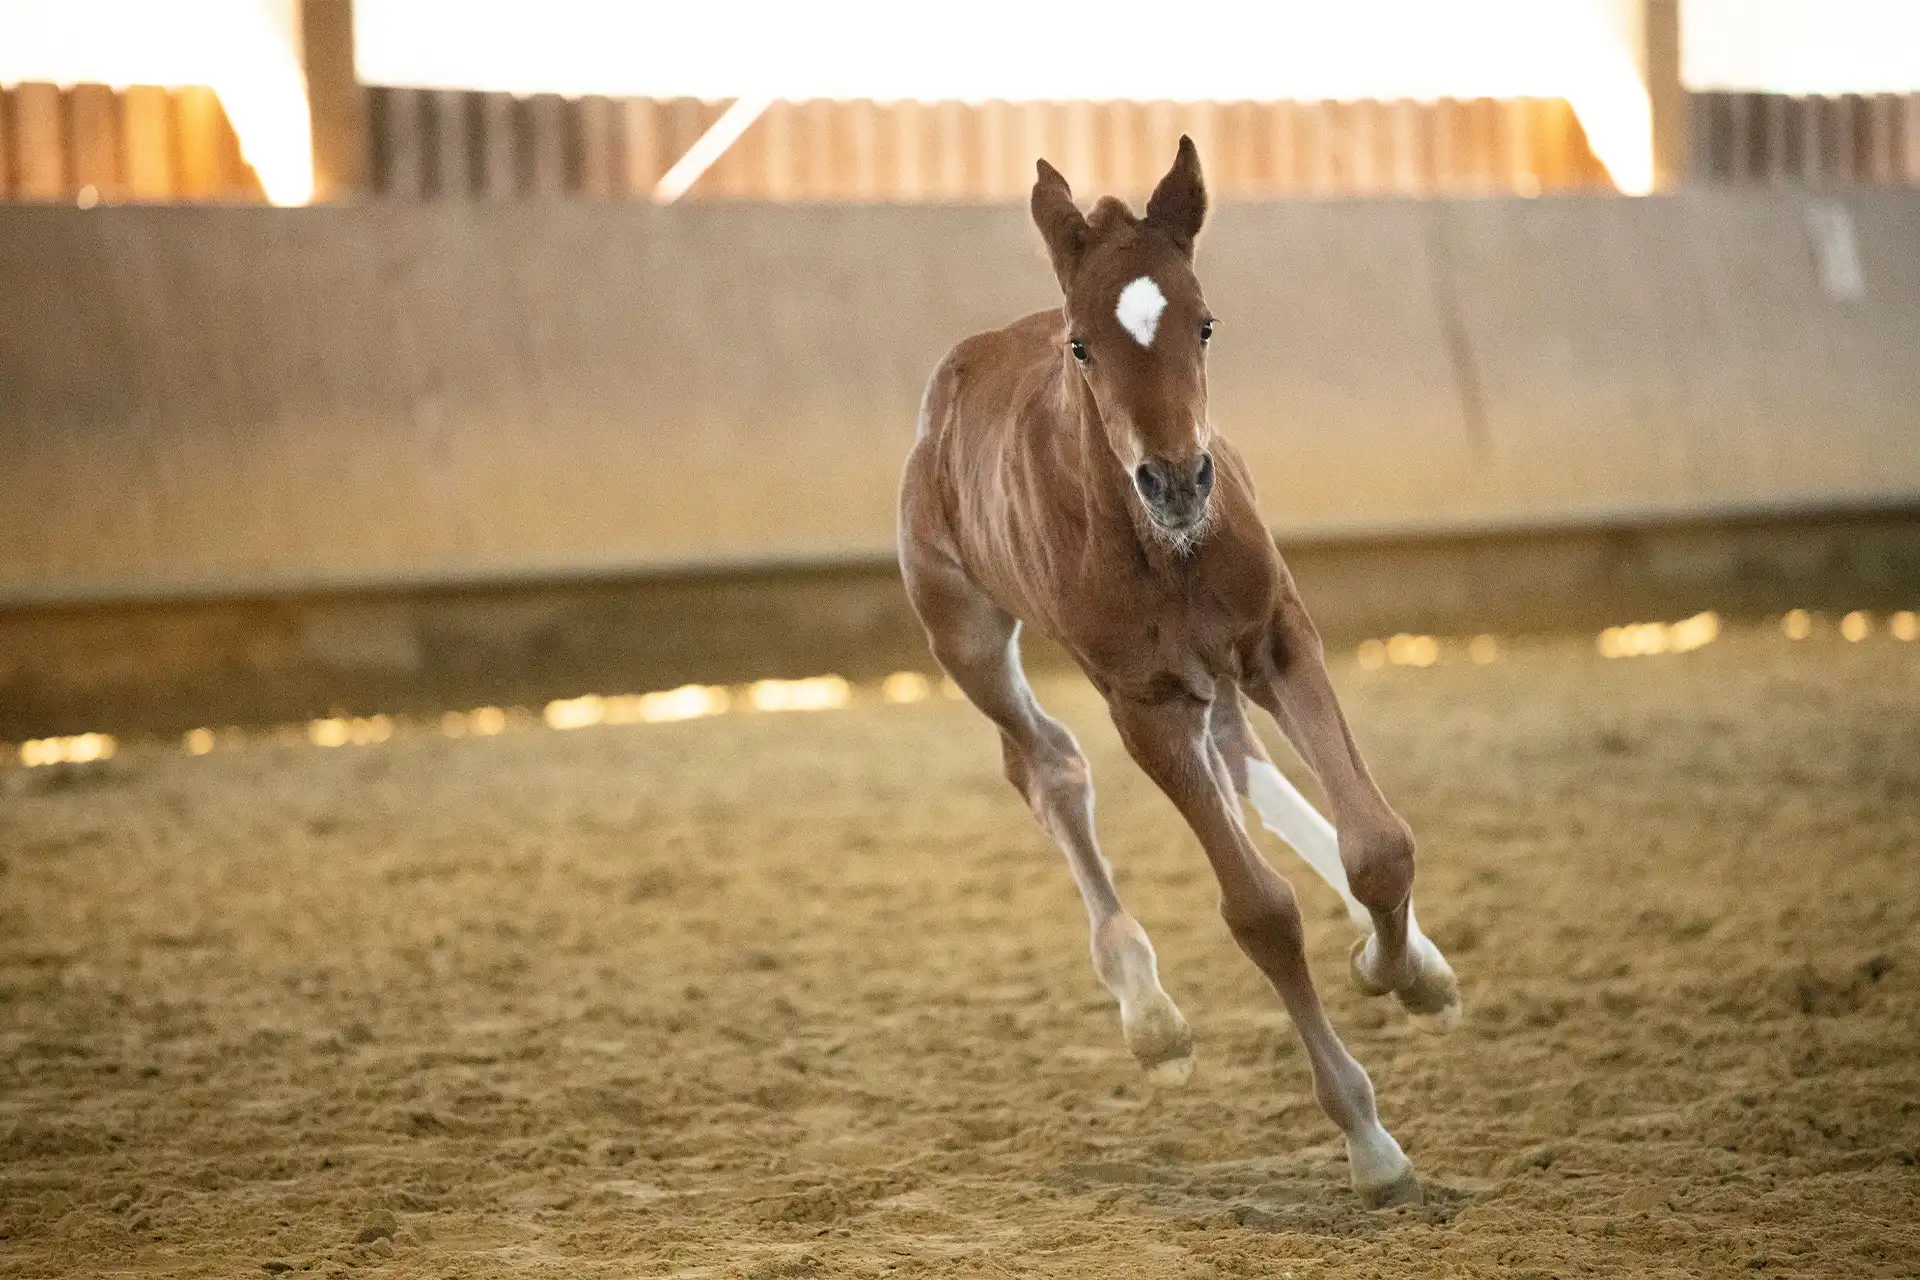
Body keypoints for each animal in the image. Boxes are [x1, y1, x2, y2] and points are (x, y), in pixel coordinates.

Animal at [894, 140, 1451, 1212]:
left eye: (1205, 322)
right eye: (1081, 346)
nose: (1179, 482)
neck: (1165, 550)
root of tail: (953, 378)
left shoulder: (1277, 636)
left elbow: (1379, 845)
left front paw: (1399, 969)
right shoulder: (1144, 704)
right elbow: (1259, 911)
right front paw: (1369, 1140)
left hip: (1217, 673)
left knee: (1237, 756)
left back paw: (1424, 964)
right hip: (967, 635)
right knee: (1048, 767)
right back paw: (1148, 1015)